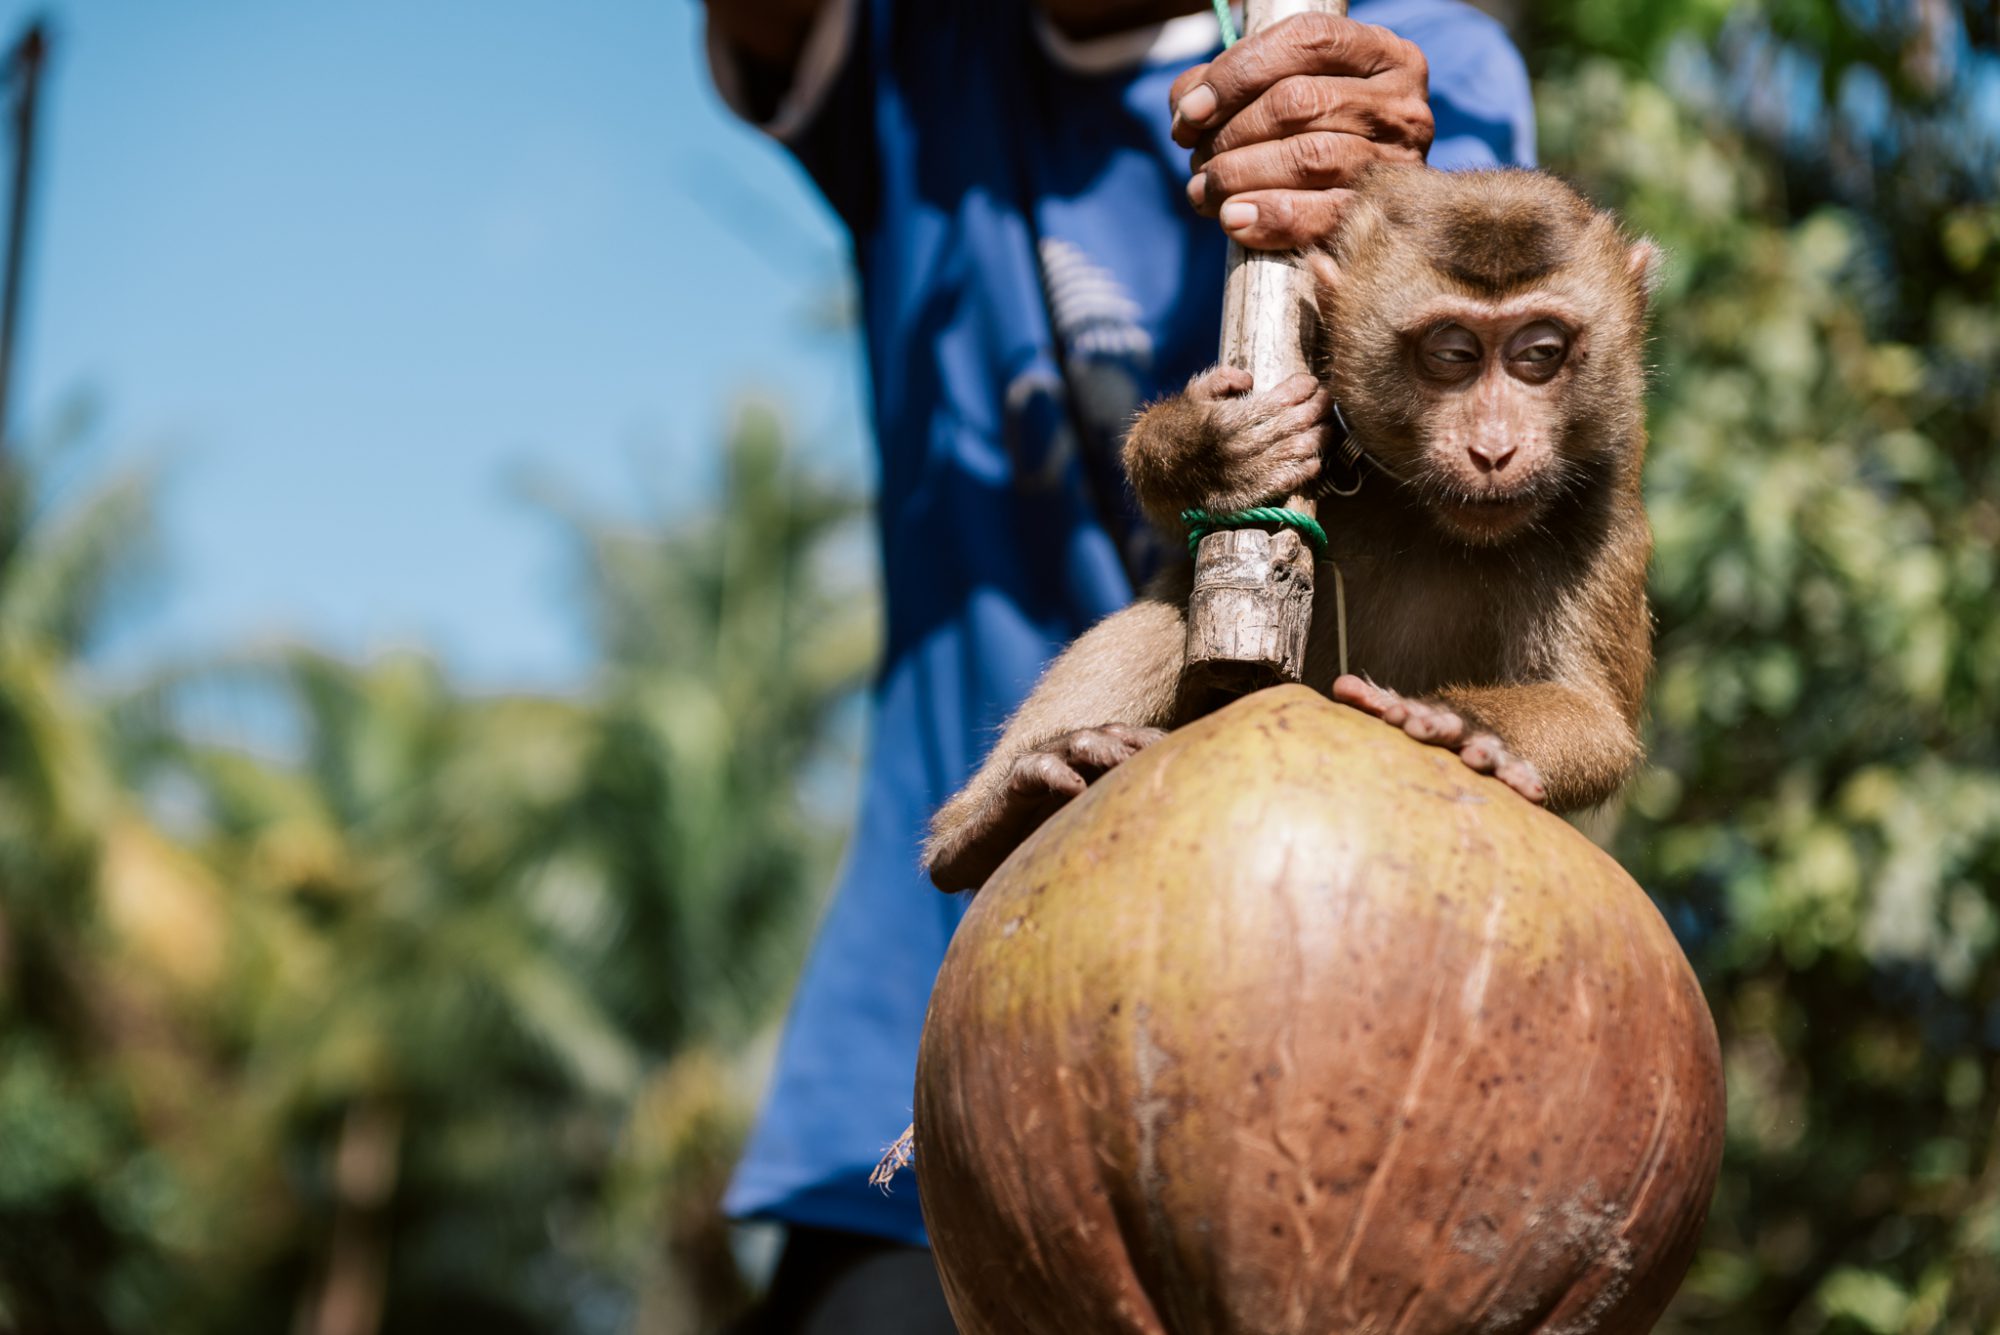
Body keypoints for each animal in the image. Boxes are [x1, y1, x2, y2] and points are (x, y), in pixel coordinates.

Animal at [928, 163, 1664, 895]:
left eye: (1539, 352)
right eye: (1452, 353)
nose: (1493, 449)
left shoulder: (1604, 497)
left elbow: (1594, 719)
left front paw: (1463, 722)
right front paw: (1204, 452)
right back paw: (993, 817)